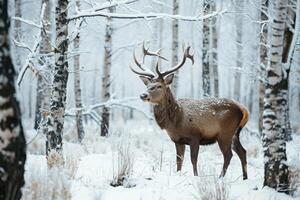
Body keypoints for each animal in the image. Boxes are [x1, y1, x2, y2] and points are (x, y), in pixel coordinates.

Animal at [130, 43, 250, 179]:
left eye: (159, 86)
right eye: (147, 86)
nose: (143, 95)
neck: (176, 120)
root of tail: (243, 109)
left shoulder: (195, 136)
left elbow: (193, 160)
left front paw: (196, 177)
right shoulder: (178, 140)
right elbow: (179, 160)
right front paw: (178, 174)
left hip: (225, 133)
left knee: (228, 155)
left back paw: (221, 177)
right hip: (235, 133)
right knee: (242, 151)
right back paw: (245, 178)